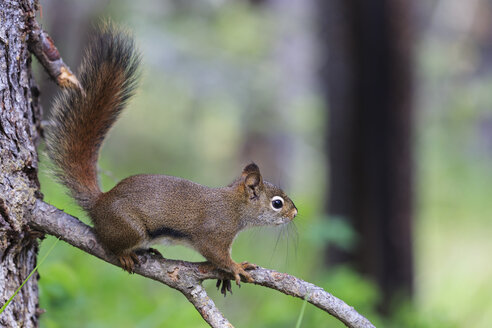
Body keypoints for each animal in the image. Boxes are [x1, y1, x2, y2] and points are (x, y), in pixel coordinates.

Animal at [46, 24, 298, 294]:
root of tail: (99, 203)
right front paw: (236, 267)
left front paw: (225, 276)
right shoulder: (214, 232)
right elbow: (217, 255)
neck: (234, 206)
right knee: (109, 243)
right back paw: (124, 253)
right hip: (129, 228)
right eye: (277, 203)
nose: (295, 214)